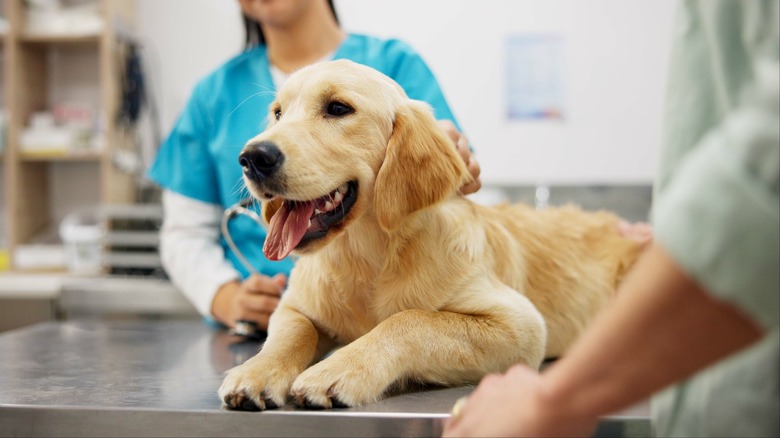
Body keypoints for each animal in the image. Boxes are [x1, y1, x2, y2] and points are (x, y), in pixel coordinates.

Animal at [218, 59, 640, 410]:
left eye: (338, 108)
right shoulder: (294, 306)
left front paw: (338, 369)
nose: (253, 157)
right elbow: (290, 334)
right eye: (277, 113)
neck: (368, 257)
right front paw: (257, 371)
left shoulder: (521, 325)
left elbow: (411, 320)